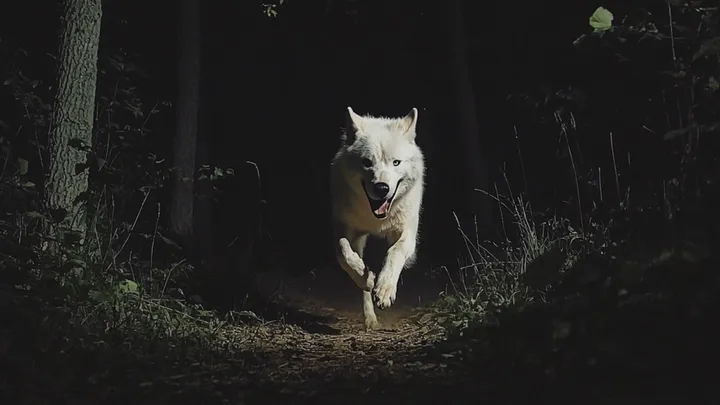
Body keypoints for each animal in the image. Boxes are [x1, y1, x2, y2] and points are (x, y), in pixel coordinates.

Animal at [329, 106, 426, 330]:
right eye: (367, 162)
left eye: (396, 162)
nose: (382, 188)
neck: (376, 221)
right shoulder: (346, 228)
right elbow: (342, 249)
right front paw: (366, 278)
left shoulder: (407, 234)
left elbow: (394, 252)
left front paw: (385, 290)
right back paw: (370, 317)